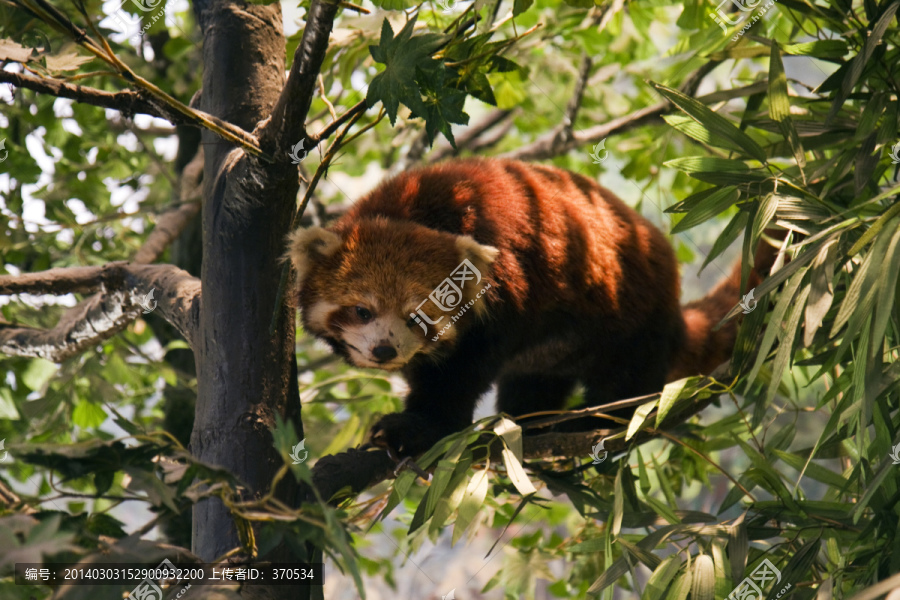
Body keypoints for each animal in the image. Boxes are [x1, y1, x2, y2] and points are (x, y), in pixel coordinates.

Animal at [290, 157, 772, 458]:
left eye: (418, 317)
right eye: (362, 311)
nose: (384, 351)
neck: (416, 211)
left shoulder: (507, 286)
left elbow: (461, 372)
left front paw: (420, 426)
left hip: (632, 315)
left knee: (626, 378)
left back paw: (599, 423)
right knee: (535, 381)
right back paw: (529, 422)